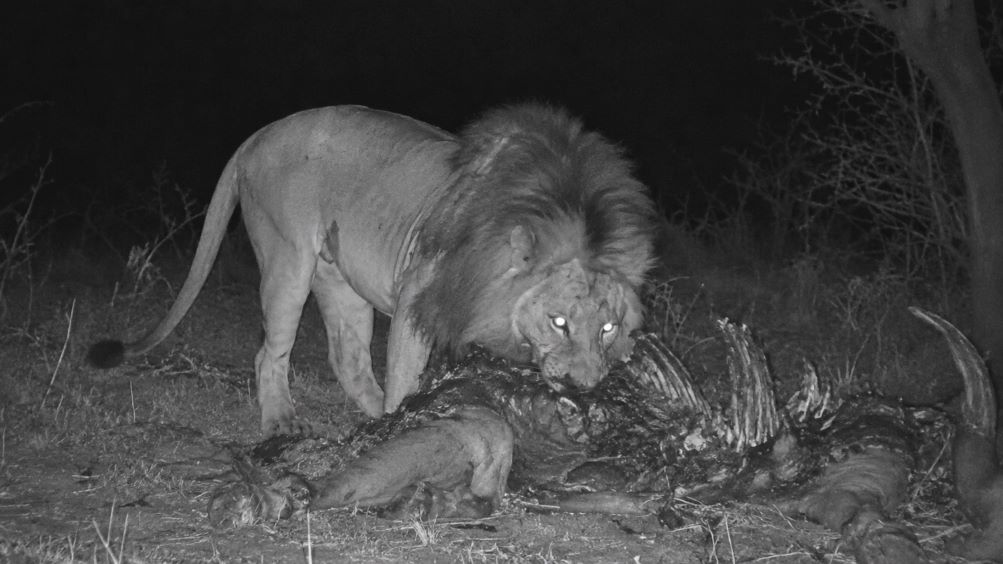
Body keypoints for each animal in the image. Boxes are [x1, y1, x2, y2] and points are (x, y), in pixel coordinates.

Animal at [88, 103, 657, 436]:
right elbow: (405, 373)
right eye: (559, 322)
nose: (586, 385)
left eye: (608, 328)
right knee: (269, 353)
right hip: (288, 262)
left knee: (347, 357)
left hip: (342, 284)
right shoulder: (416, 299)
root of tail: (258, 135)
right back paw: (283, 422)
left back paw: (370, 413)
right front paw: (402, 426)